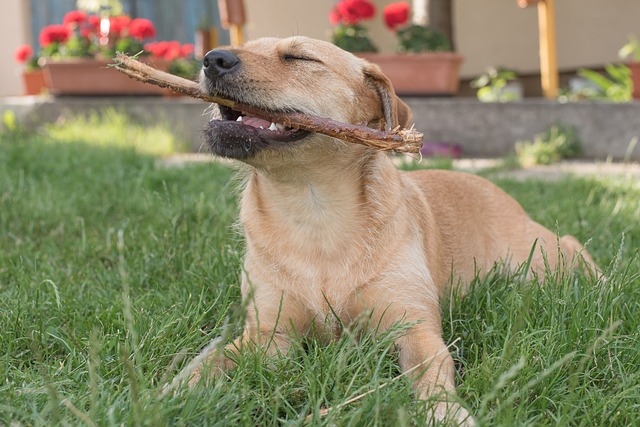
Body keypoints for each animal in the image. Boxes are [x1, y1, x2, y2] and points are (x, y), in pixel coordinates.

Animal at [181, 36, 600, 424]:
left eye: (300, 57)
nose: (213, 59)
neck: (313, 211)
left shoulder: (414, 329)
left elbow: (432, 377)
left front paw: (447, 413)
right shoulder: (269, 336)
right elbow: (215, 362)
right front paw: (175, 394)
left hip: (542, 260)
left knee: (573, 245)